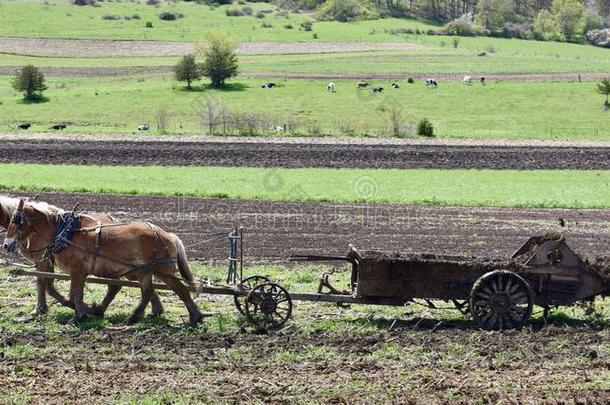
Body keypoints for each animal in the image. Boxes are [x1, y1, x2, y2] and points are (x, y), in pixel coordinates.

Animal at [3, 199, 202, 326]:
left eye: (17, 220)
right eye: (11, 219)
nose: (6, 244)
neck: (65, 233)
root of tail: (167, 235)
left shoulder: (76, 271)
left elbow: (76, 293)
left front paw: (77, 316)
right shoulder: (70, 271)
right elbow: (67, 291)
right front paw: (84, 311)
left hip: (162, 270)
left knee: (181, 290)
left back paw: (195, 317)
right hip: (143, 271)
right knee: (146, 291)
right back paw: (132, 317)